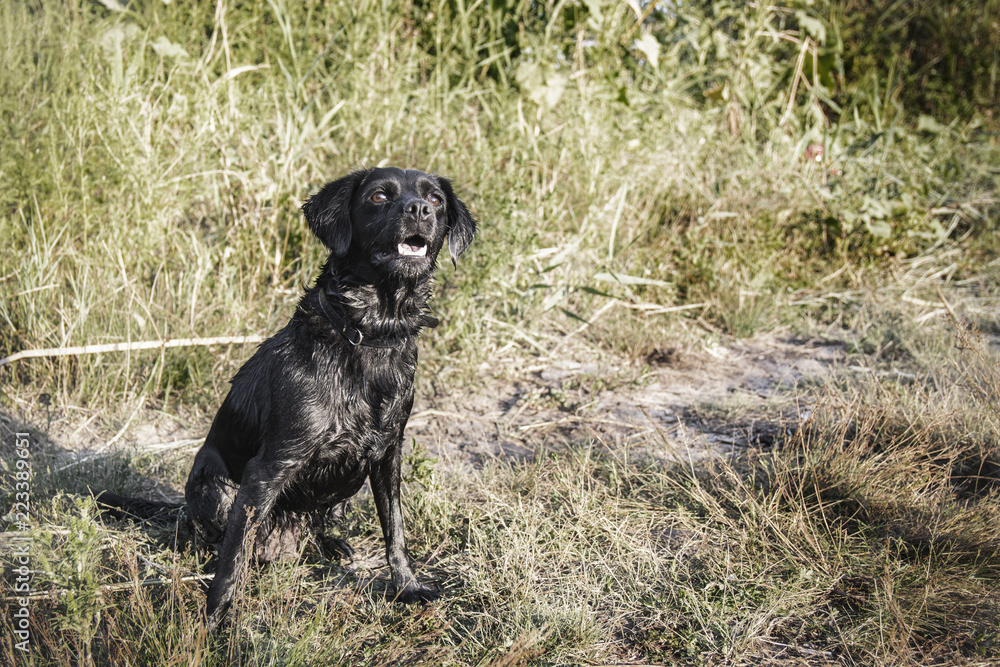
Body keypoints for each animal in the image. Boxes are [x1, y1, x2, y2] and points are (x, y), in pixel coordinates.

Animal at [96, 164, 476, 628]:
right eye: (379, 197)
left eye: (435, 199)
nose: (419, 209)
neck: (369, 334)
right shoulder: (267, 470)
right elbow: (233, 560)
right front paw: (215, 619)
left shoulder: (388, 455)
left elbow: (396, 530)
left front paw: (407, 587)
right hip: (214, 488)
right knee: (213, 541)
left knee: (318, 527)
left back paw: (332, 544)